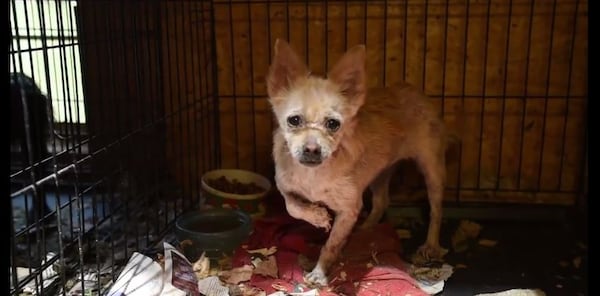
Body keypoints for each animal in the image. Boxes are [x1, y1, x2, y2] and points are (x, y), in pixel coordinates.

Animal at [266, 38, 446, 286]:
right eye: (294, 120)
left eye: (333, 124)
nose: (312, 149)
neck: (314, 176)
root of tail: (410, 89)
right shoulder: (284, 186)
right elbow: (291, 206)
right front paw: (317, 216)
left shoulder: (349, 209)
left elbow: (331, 244)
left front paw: (320, 273)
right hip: (380, 173)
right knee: (381, 202)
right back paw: (365, 230)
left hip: (432, 169)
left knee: (436, 210)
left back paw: (430, 244)